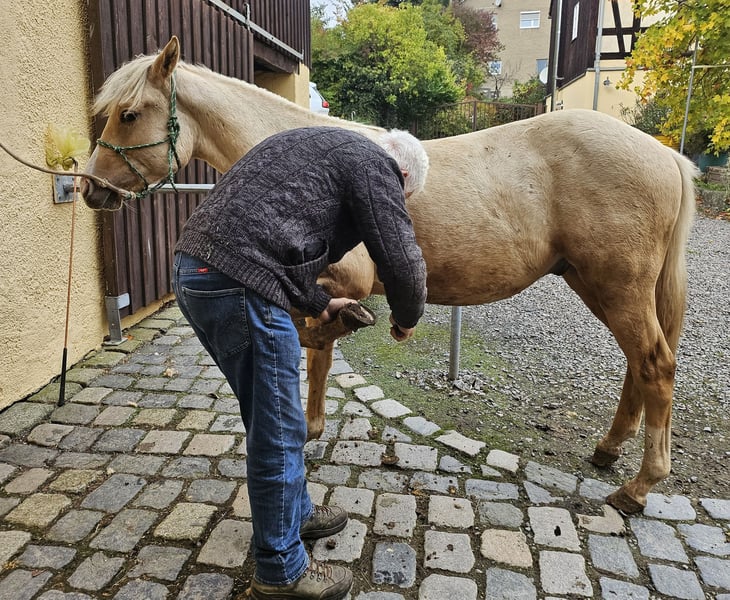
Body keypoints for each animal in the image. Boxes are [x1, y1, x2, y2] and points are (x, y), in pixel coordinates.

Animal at [82, 36, 698, 513]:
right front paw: (312, 428)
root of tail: (667, 156)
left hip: (616, 287)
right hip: (598, 284)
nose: (90, 188)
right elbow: (318, 352)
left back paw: (638, 488)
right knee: (638, 366)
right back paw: (609, 450)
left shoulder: (337, 282)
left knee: (656, 365)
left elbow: (315, 339)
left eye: (129, 113)